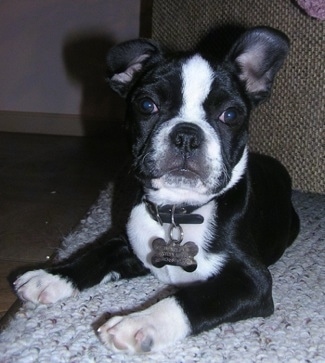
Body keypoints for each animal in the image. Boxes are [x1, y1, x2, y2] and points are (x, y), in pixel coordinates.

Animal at [12, 27, 298, 356]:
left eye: (230, 115)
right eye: (147, 105)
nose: (187, 134)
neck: (178, 211)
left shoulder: (253, 282)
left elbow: (190, 300)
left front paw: (140, 322)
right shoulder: (130, 244)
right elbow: (94, 254)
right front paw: (51, 277)